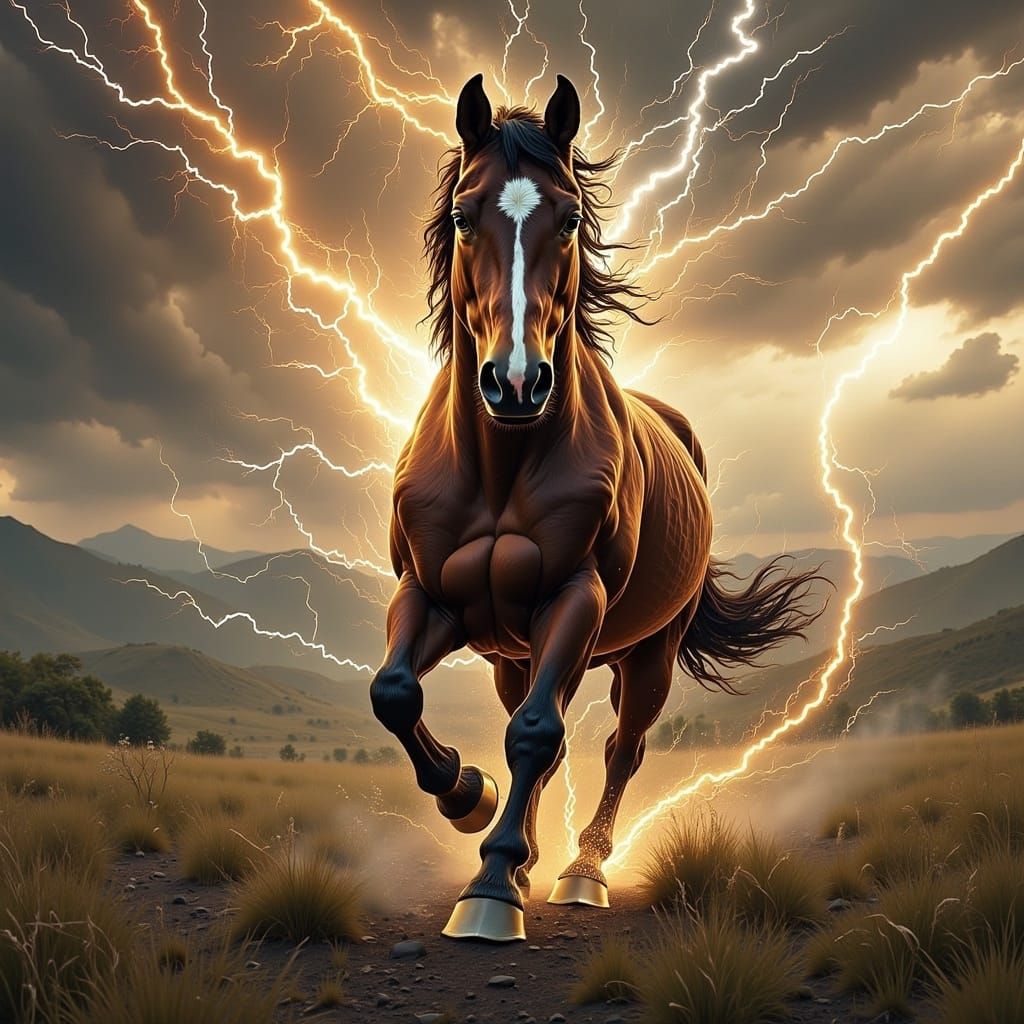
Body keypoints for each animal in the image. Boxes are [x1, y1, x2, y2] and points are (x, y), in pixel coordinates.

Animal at [369, 73, 822, 942]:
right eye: (462, 217)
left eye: (571, 216)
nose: (516, 383)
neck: (504, 462)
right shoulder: (431, 594)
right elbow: (396, 693)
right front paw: (467, 797)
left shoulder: (575, 595)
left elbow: (538, 733)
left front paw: (492, 890)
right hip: (514, 655)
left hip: (646, 652)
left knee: (621, 747)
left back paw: (581, 872)